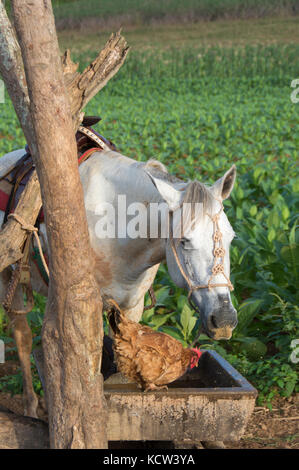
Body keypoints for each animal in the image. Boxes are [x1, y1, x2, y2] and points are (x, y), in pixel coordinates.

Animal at [0, 147, 239, 414]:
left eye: (231, 237)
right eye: (184, 240)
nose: (224, 319)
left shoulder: (132, 305)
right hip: (7, 277)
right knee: (22, 337)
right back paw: (30, 404)